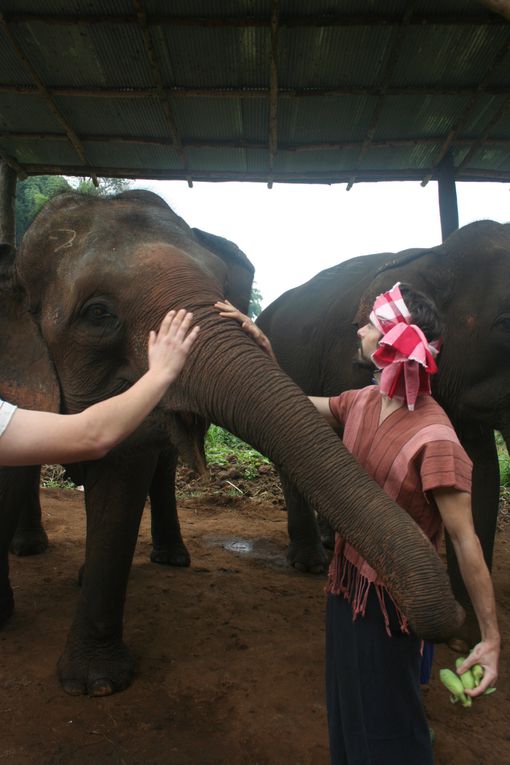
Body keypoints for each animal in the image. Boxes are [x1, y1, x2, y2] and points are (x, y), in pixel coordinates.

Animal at [0, 190, 462, 692]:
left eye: (223, 287)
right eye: (97, 313)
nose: (451, 628)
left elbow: (122, 481)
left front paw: (96, 683)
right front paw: (86, 678)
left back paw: (165, 560)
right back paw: (30, 549)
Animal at [256, 218, 510, 640]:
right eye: (506, 324)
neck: (437, 252)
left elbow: (478, 473)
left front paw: (469, 635)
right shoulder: (348, 366)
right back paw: (311, 562)